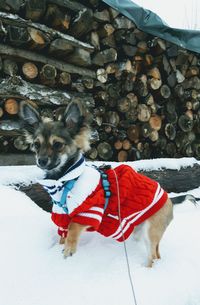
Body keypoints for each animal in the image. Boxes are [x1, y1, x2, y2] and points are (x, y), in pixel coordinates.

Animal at [19, 100, 173, 266]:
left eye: (57, 144)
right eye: (36, 144)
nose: (41, 160)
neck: (66, 180)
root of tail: (168, 198)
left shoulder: (91, 211)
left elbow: (73, 227)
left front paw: (69, 248)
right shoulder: (62, 215)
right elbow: (63, 233)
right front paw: (60, 248)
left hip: (150, 232)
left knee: (152, 255)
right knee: (157, 254)